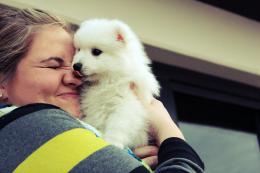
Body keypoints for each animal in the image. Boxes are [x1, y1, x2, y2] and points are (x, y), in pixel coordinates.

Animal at [72, 18, 159, 149]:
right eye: (78, 49)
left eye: (96, 51)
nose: (76, 66)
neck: (107, 80)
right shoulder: (92, 107)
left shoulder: (127, 103)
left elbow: (119, 123)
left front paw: (112, 141)